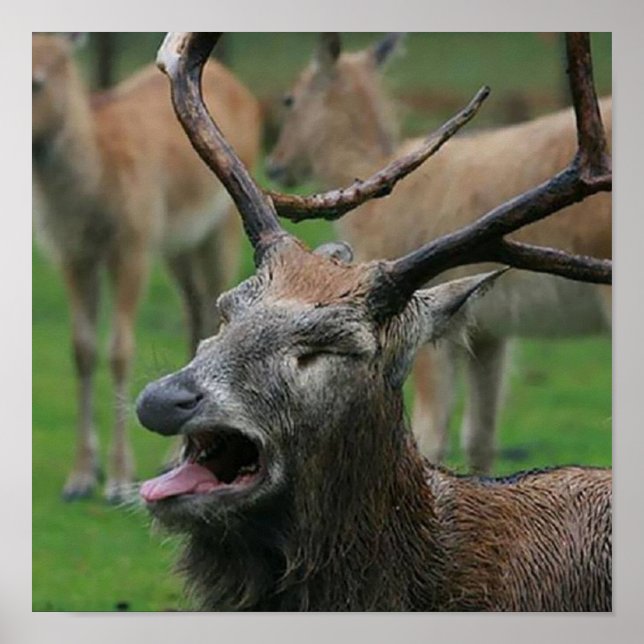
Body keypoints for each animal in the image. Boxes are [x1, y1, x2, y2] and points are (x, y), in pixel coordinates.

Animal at [32, 33, 262, 503]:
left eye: (36, 82)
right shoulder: (71, 252)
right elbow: (82, 348)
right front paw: (81, 476)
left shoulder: (133, 243)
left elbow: (120, 350)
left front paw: (119, 480)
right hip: (178, 245)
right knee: (196, 311)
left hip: (220, 230)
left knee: (212, 310)